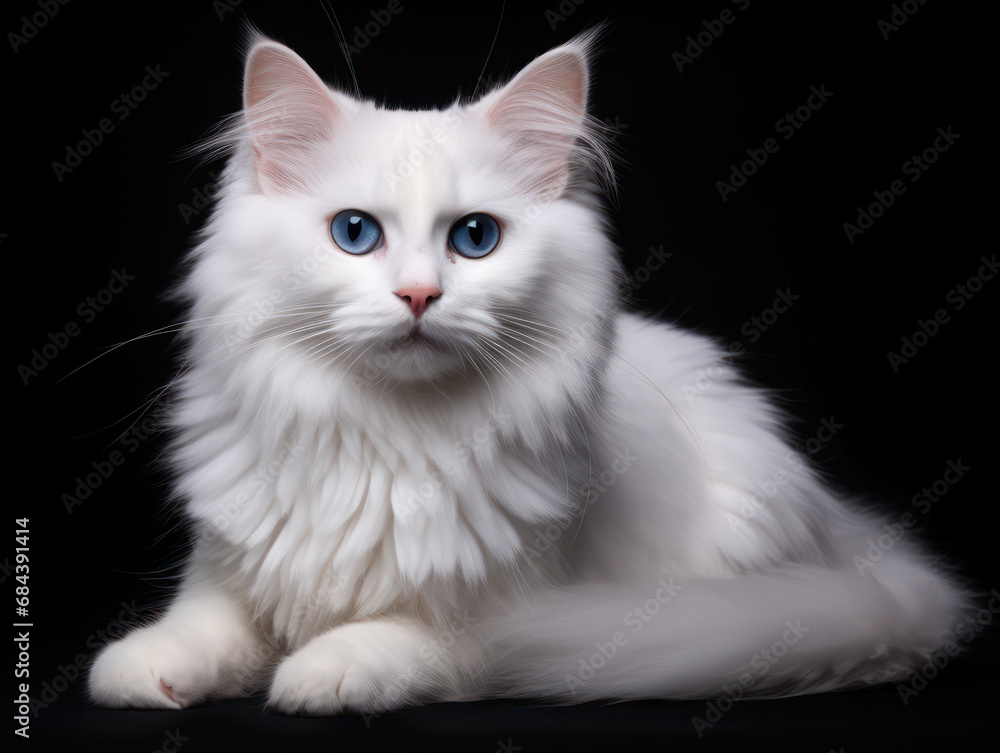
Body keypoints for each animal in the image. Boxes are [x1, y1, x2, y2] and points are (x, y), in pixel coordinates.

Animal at [90, 29, 964, 712]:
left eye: (475, 238)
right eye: (354, 233)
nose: (419, 294)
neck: (385, 438)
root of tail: (844, 532)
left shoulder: (501, 623)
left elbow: (393, 639)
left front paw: (319, 671)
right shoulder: (229, 566)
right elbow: (201, 628)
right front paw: (140, 668)